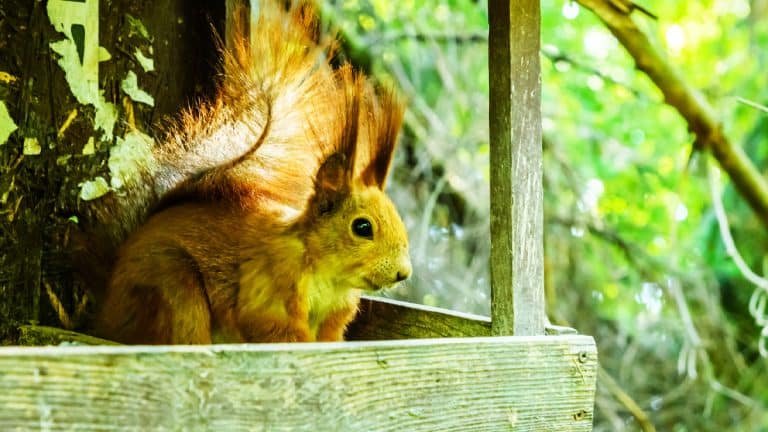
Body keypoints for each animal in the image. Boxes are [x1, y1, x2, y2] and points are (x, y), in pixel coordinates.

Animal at [77, 0, 412, 344]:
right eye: (362, 227)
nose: (404, 273)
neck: (329, 276)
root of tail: (107, 311)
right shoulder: (270, 283)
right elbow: (272, 326)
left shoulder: (334, 316)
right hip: (173, 289)